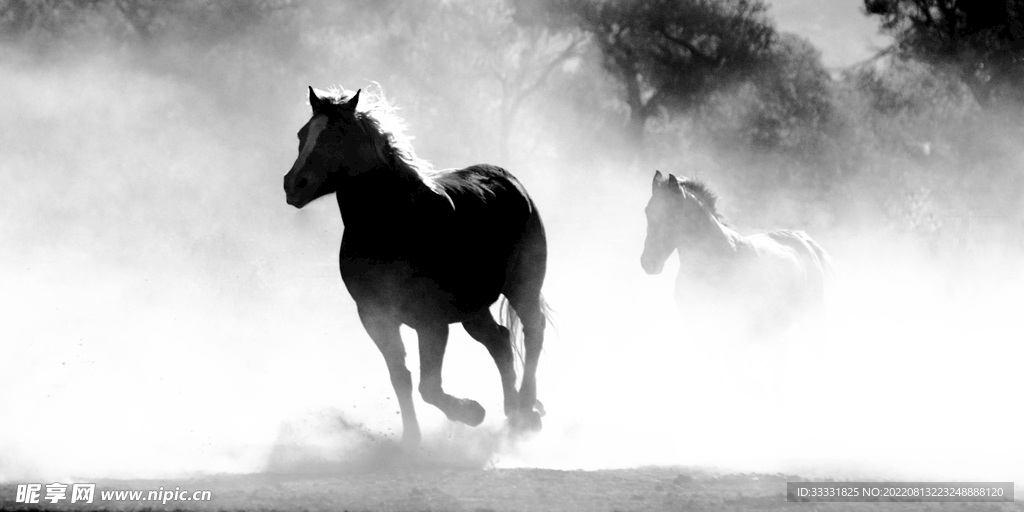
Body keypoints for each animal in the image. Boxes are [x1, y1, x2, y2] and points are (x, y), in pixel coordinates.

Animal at [283, 86, 548, 444]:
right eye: (302, 134)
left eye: (338, 134)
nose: (293, 184)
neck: (394, 226)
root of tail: (509, 181)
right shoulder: (375, 317)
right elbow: (401, 377)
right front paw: (412, 440)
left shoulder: (430, 321)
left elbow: (429, 387)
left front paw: (471, 412)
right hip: (473, 308)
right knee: (501, 341)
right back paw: (513, 410)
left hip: (523, 287)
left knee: (533, 332)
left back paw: (527, 409)